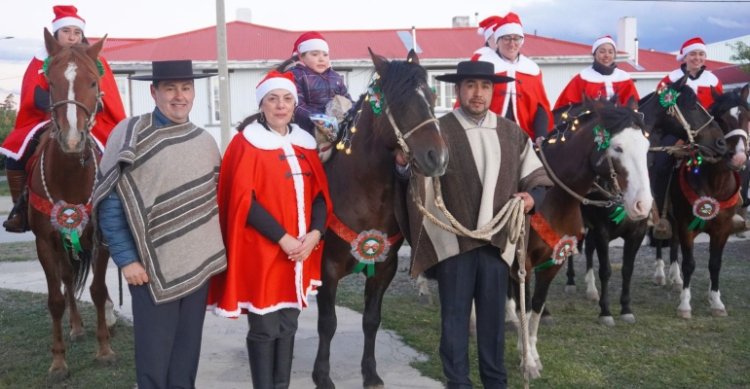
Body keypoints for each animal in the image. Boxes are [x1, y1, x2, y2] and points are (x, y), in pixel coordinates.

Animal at [26, 28, 116, 380]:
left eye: (93, 82)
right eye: (51, 83)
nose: (73, 139)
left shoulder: (101, 238)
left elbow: (99, 290)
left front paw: (104, 350)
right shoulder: (44, 240)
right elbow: (54, 299)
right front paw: (58, 361)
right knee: (65, 278)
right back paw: (76, 327)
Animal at [314, 49, 450, 388]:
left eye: (432, 96)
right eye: (399, 102)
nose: (438, 158)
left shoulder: (384, 267)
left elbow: (371, 320)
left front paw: (371, 373)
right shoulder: (326, 268)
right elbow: (327, 322)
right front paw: (322, 375)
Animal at [520, 98, 656, 376]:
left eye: (647, 146)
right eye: (618, 148)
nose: (643, 205)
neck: (550, 196)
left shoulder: (554, 260)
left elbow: (536, 306)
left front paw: (533, 355)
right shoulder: (526, 262)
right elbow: (525, 305)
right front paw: (525, 358)